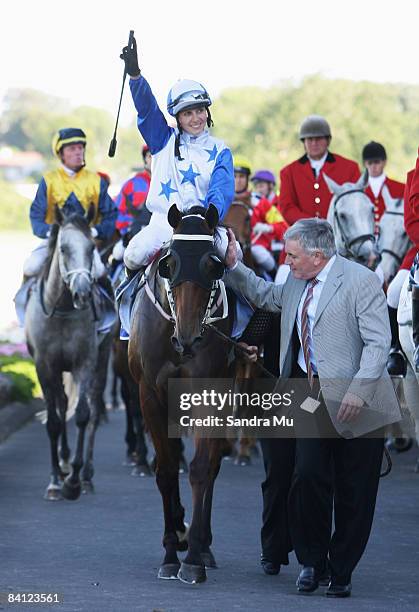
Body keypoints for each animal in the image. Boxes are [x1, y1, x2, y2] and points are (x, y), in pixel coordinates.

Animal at [25, 206, 113, 502]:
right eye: (63, 249)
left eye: (91, 248)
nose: (83, 292)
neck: (62, 310)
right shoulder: (44, 365)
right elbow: (54, 419)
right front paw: (55, 481)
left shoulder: (84, 361)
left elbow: (84, 414)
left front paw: (74, 480)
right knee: (62, 404)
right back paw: (62, 461)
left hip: (103, 358)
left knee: (94, 409)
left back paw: (85, 476)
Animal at [128, 203, 233, 580]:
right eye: (168, 264)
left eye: (213, 264)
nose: (187, 340)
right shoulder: (149, 394)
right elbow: (166, 469)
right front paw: (172, 551)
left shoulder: (210, 393)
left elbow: (202, 468)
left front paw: (195, 557)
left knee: (213, 464)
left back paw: (203, 545)